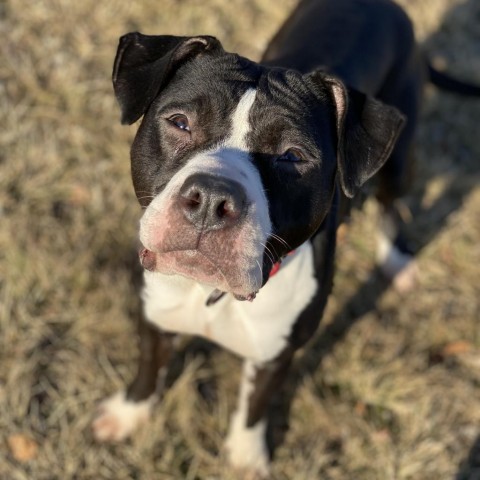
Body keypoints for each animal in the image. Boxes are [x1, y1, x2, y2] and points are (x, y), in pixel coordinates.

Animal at [92, 0, 478, 476]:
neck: (212, 292)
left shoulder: (276, 354)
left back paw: (397, 262)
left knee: (391, 204)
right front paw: (128, 415)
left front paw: (245, 458)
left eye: (293, 156)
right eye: (180, 123)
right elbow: (149, 369)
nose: (212, 199)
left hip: (399, 158)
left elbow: (255, 408)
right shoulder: (156, 313)